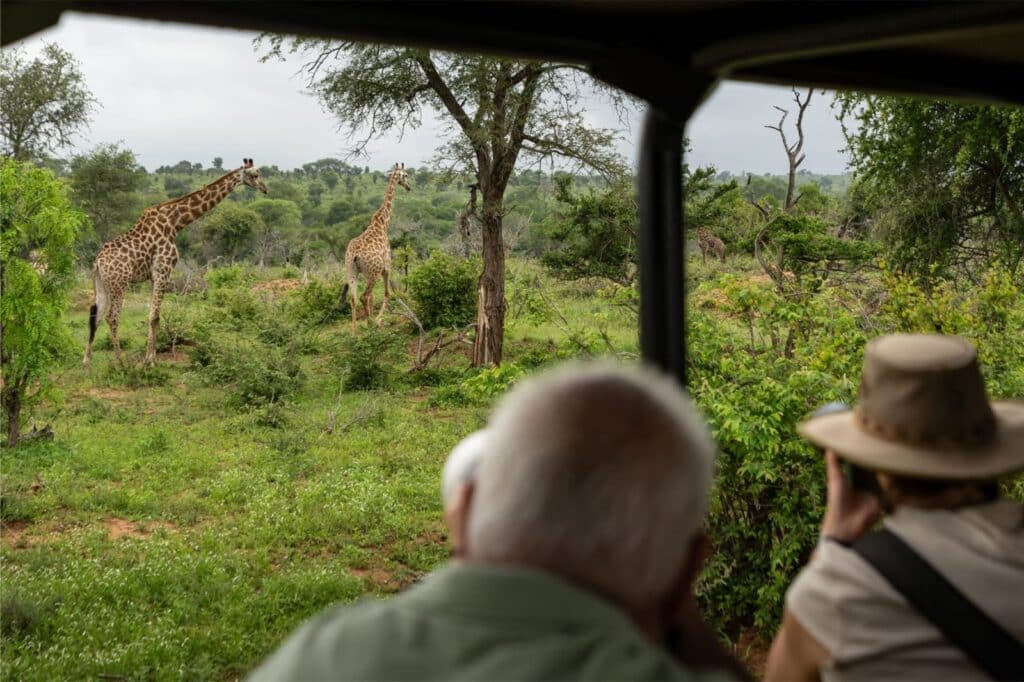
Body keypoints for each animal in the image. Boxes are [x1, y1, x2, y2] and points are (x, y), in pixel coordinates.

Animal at [83, 158, 268, 367]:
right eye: (255, 175)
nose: (265, 188)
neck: (176, 223)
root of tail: (98, 262)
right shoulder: (162, 271)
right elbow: (154, 315)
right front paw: (149, 361)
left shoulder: (155, 276)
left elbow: (155, 315)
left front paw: (151, 357)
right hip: (119, 283)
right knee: (112, 317)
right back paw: (121, 363)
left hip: (101, 284)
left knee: (95, 316)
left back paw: (87, 362)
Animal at [339, 163, 411, 327]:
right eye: (406, 175)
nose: (409, 187)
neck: (382, 223)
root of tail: (354, 255)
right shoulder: (387, 266)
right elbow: (387, 293)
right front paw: (378, 319)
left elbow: (373, 297)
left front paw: (372, 317)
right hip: (373, 273)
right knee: (363, 296)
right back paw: (370, 323)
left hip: (352, 271)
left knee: (353, 298)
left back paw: (355, 330)